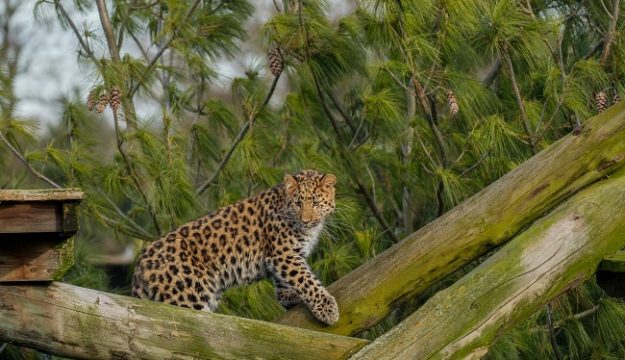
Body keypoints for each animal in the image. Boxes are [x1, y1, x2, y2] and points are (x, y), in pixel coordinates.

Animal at [129, 170, 338, 324]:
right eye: (298, 203)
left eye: (316, 203)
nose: (306, 220)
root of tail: (140, 267)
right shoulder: (283, 254)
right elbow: (306, 280)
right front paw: (327, 308)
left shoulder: (284, 256)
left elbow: (285, 280)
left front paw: (290, 297)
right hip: (186, 297)